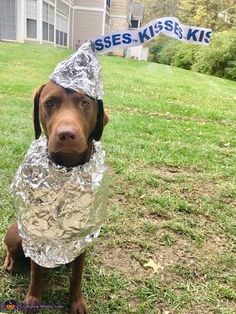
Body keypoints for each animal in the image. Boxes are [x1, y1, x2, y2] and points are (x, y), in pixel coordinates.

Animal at [3, 81, 109, 314]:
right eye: (49, 103)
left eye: (85, 102)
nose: (66, 134)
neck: (66, 172)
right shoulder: (38, 231)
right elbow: (36, 272)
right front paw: (33, 299)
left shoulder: (81, 236)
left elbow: (77, 276)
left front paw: (76, 302)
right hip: (17, 233)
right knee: (12, 250)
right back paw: (10, 263)